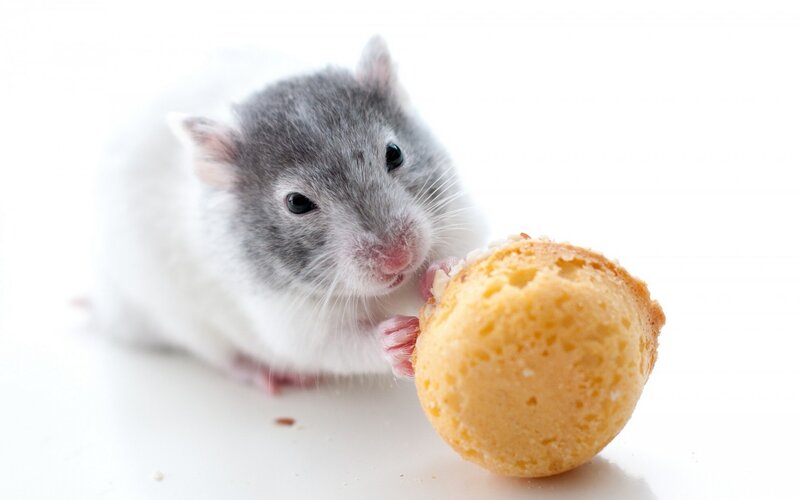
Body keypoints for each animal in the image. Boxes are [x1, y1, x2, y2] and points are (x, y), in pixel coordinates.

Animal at [94, 37, 486, 393]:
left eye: (394, 153)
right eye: (296, 202)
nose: (399, 259)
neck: (384, 292)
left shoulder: (459, 218)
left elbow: (457, 252)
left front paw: (442, 269)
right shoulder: (292, 322)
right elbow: (339, 346)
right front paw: (394, 341)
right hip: (180, 321)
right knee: (224, 357)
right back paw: (266, 375)